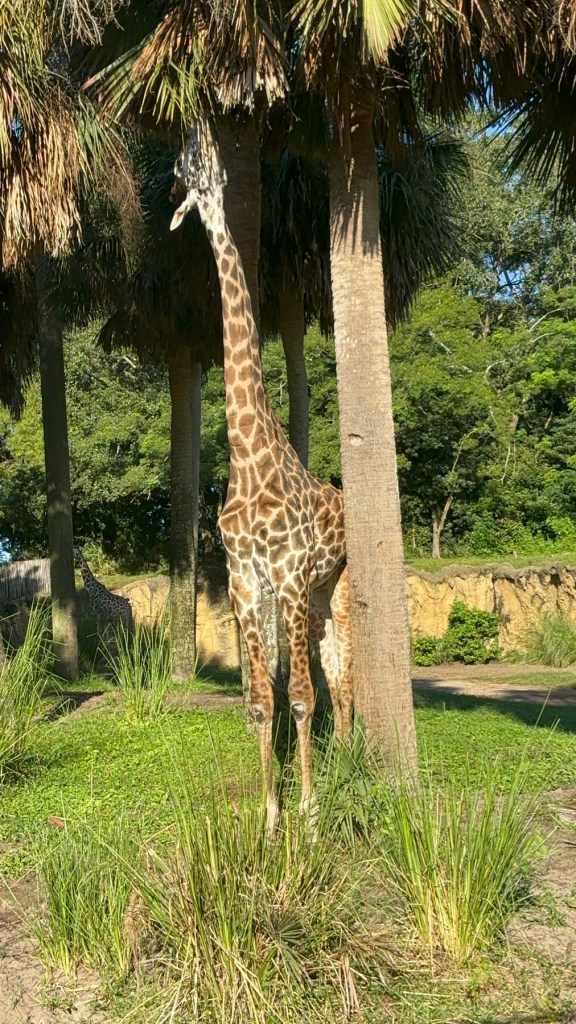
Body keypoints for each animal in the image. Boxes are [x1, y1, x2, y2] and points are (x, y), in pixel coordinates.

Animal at [170, 122, 352, 831]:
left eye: (207, 166)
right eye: (186, 171)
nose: (190, 140)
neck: (248, 456)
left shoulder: (290, 574)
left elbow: (297, 695)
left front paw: (309, 815)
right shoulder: (247, 583)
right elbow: (259, 701)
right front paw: (271, 820)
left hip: (333, 586)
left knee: (341, 672)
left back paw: (354, 764)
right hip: (317, 597)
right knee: (335, 669)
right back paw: (348, 758)